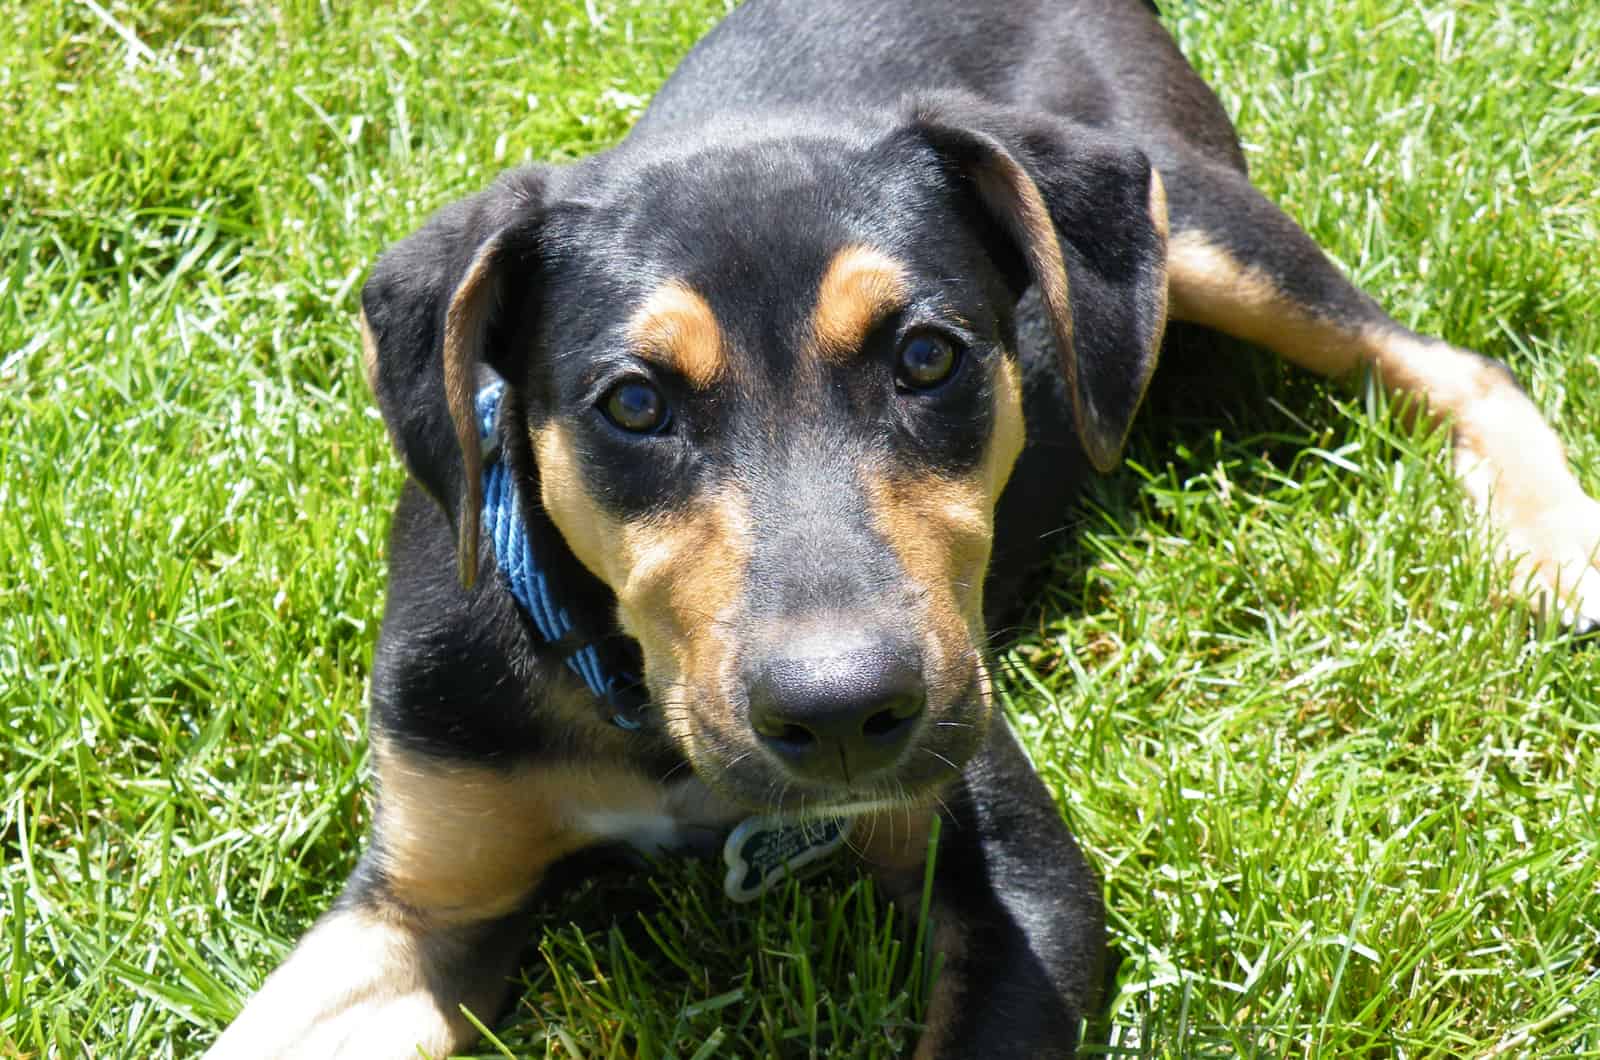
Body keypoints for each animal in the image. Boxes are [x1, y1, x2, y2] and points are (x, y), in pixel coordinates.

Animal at [209, 0, 1600, 1056]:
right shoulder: (420, 900)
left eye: (928, 357)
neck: (642, 717)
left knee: (1450, 362)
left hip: (1192, 222)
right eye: (633, 403)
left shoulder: (1025, 884)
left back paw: (1557, 549)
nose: (842, 715)